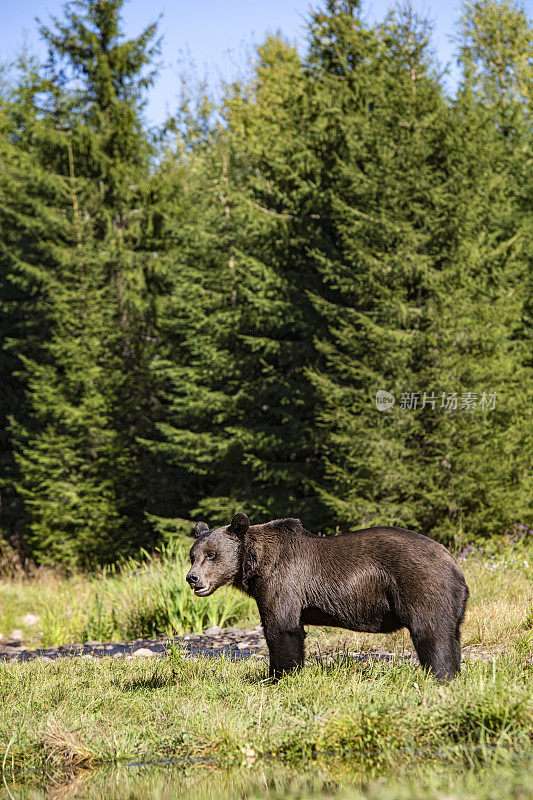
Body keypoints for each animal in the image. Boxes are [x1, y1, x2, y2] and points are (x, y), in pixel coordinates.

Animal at [185, 516, 468, 680]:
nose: (192, 578)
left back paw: (441, 675)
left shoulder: (283, 581)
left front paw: (280, 676)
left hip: (421, 584)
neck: (254, 565)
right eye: (193, 555)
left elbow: (282, 628)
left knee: (431, 633)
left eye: (211, 554)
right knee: (451, 635)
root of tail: (453, 562)